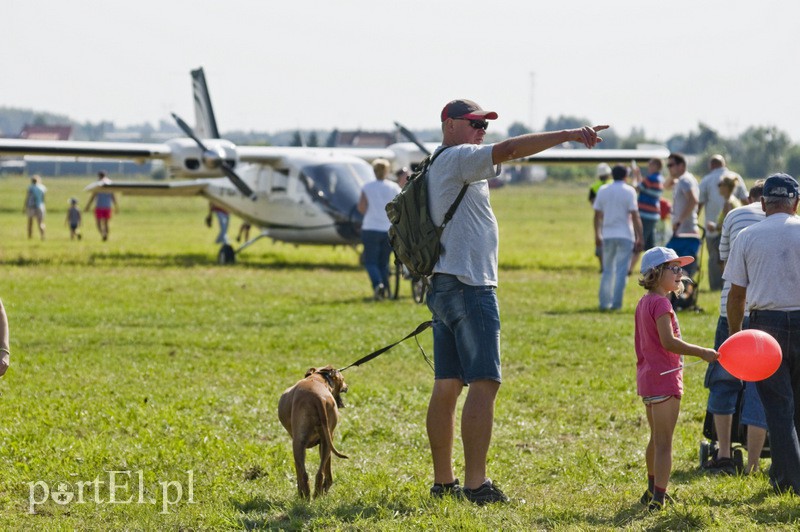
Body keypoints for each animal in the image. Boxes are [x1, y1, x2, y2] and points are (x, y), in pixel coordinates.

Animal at [278, 366, 346, 498]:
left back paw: (305, 497)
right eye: (343, 378)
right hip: (326, 443)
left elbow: (298, 472)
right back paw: (317, 496)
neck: (318, 378)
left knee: (304, 475)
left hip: (298, 444)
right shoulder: (326, 441)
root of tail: (318, 397)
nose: (347, 386)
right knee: (320, 474)